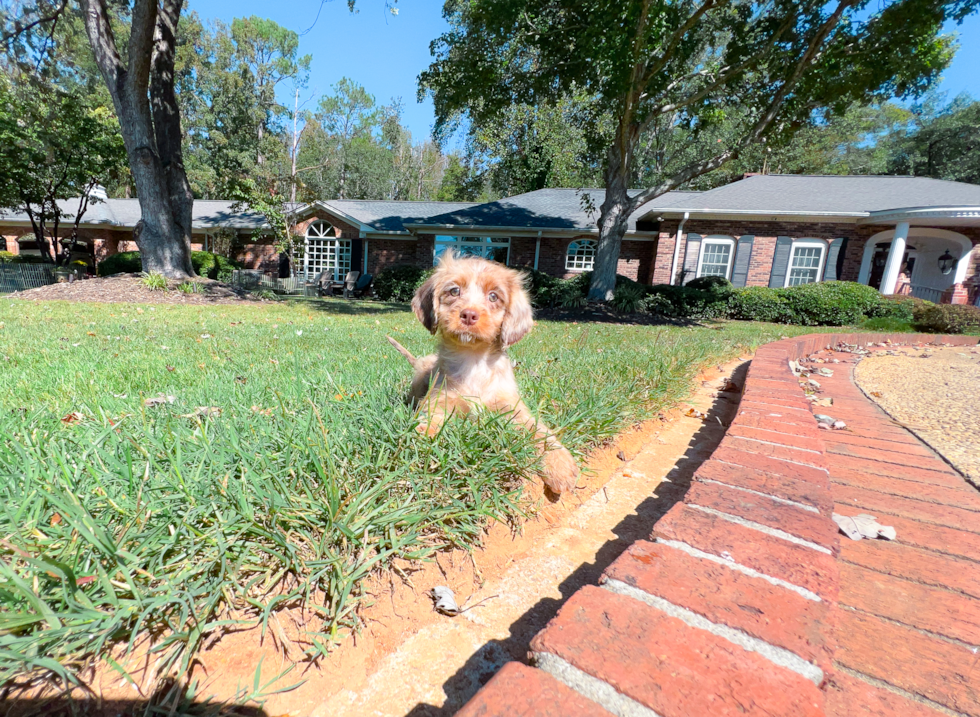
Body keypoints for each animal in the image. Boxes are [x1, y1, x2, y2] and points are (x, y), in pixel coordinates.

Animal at [386, 255, 580, 496]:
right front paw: (424, 432)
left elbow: (539, 431)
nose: (469, 314)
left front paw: (560, 464)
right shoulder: (440, 399)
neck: (473, 361)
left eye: (493, 296)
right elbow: (432, 417)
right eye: (454, 291)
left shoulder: (511, 406)